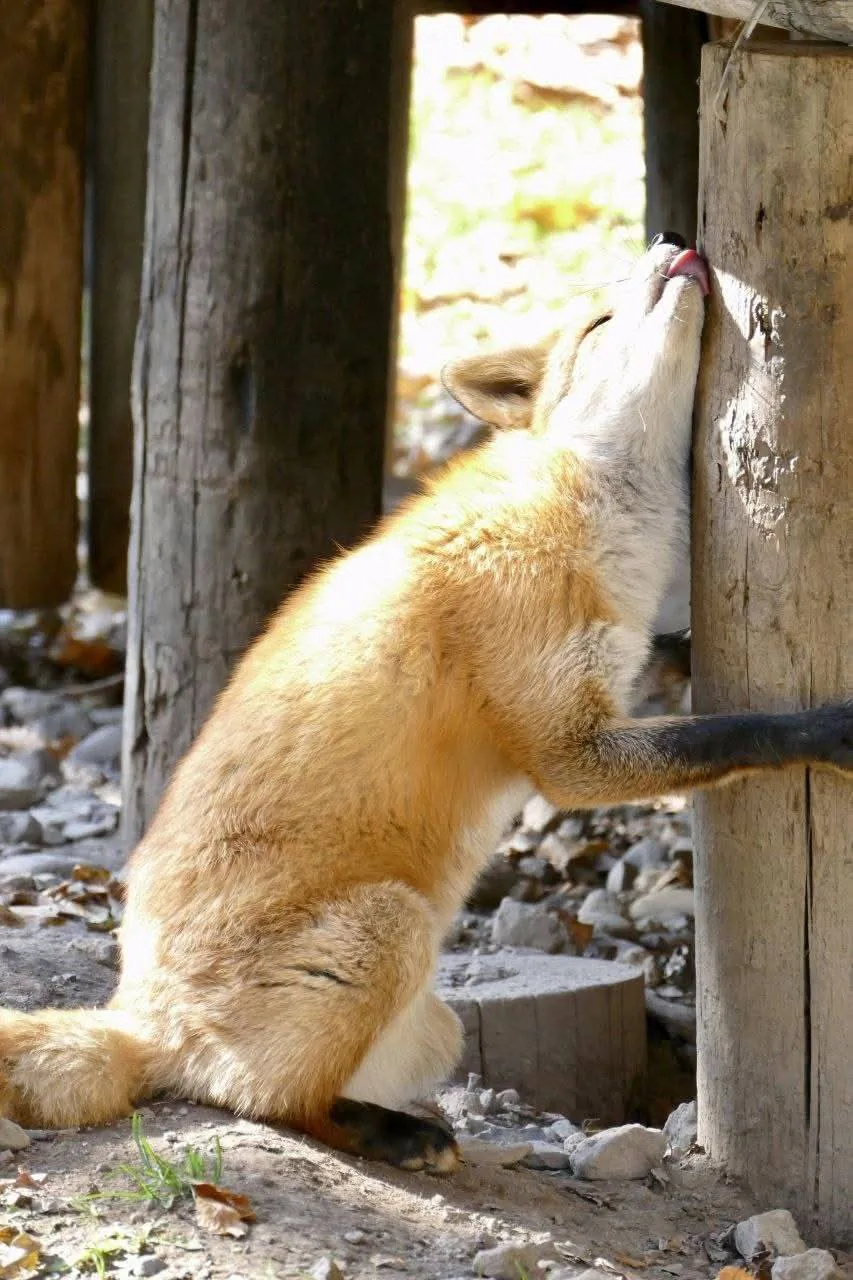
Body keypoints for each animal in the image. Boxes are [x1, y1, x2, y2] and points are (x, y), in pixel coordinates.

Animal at [2, 234, 852, 1174]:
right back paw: (387, 1134)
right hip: (387, 927)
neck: (578, 511)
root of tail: (137, 1018)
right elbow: (728, 732)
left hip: (439, 1028)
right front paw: (828, 730)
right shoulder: (566, 746)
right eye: (599, 322)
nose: (672, 243)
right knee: (255, 1099)